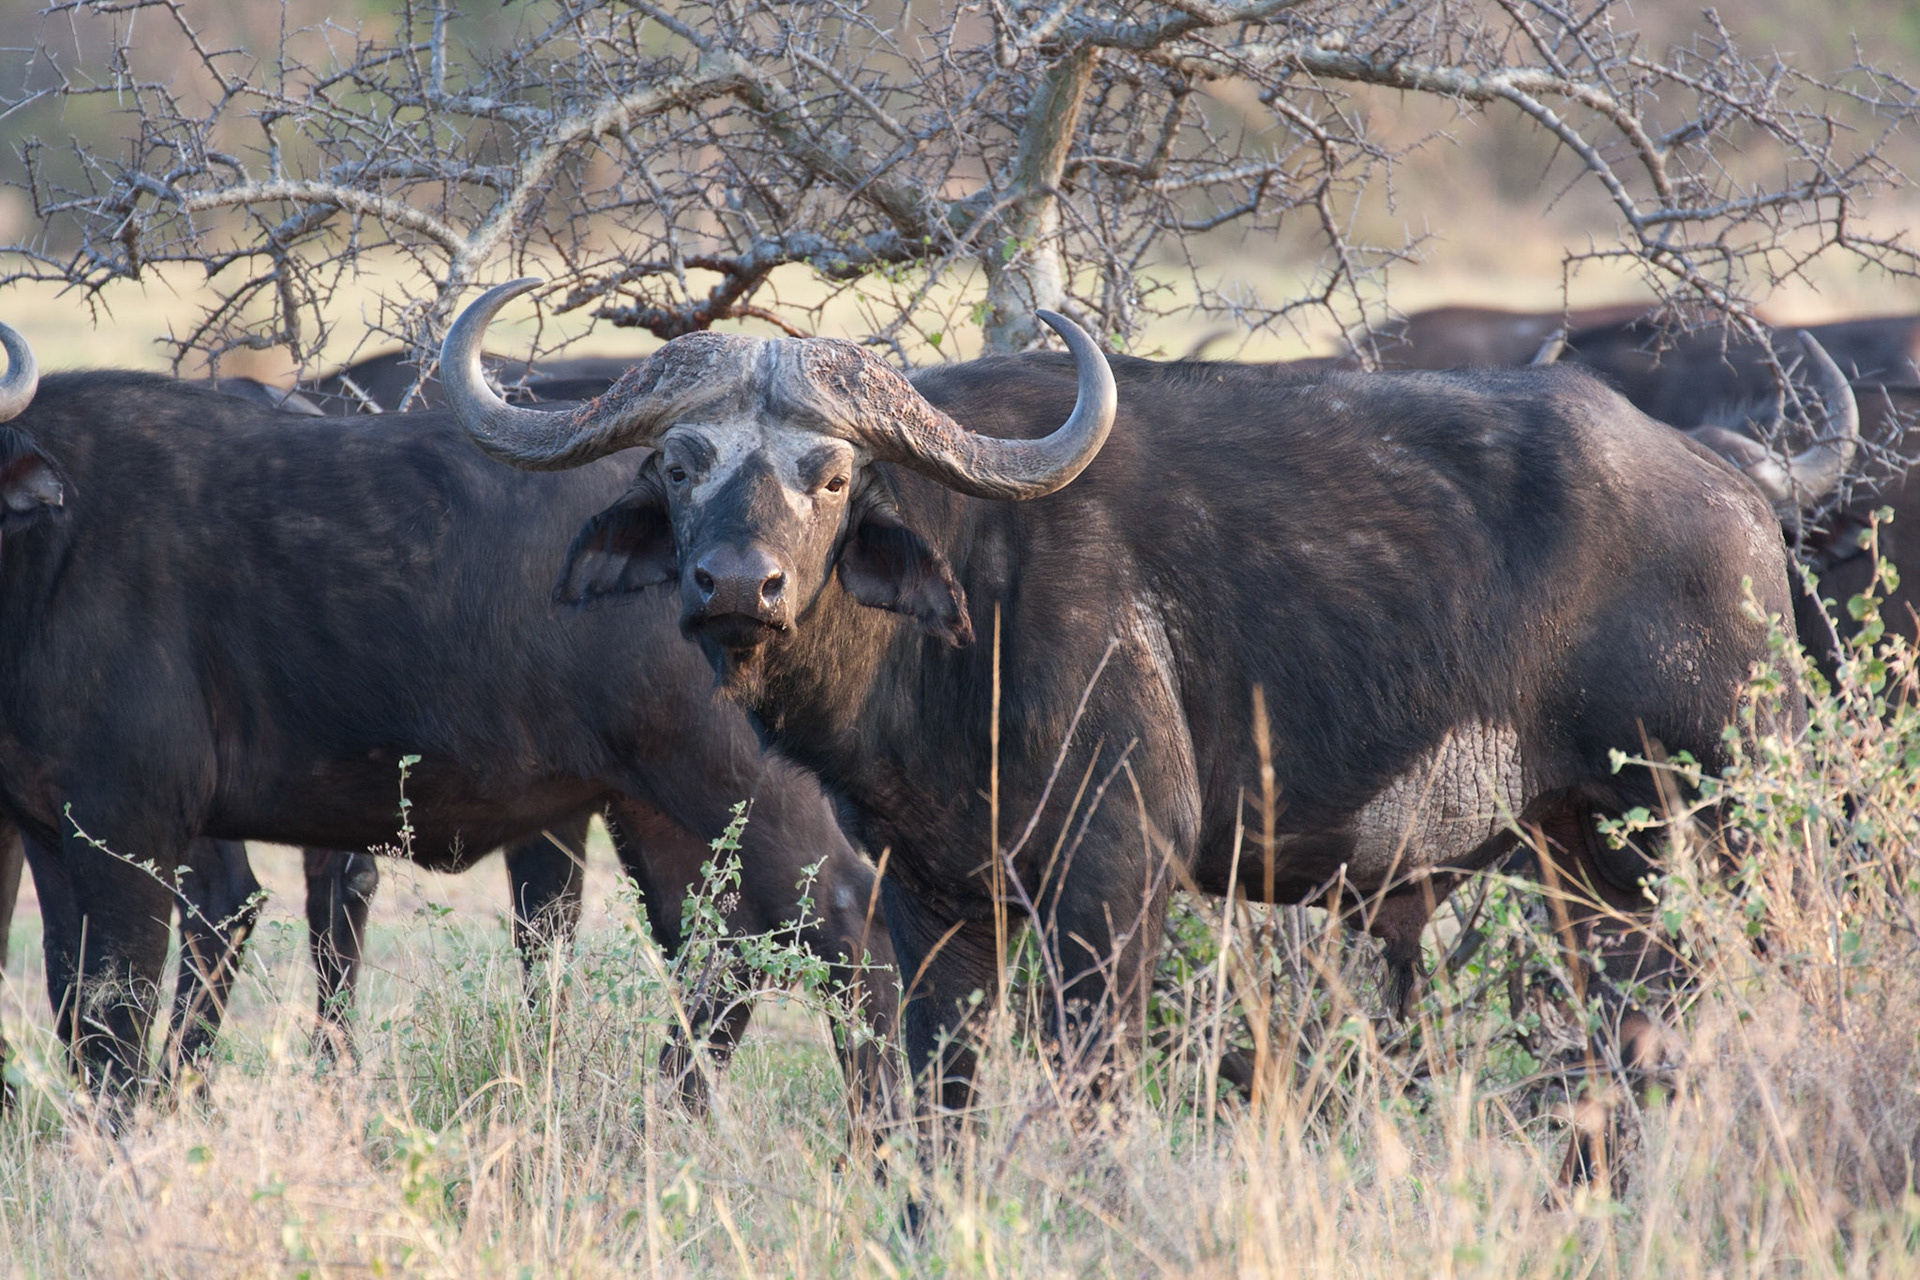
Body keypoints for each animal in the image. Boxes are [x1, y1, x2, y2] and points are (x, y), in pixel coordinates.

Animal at [0, 322, 895, 1117]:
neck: (51, 552)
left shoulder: (128, 831)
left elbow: (114, 1026)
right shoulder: (46, 832)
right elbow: (71, 1006)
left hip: (740, 788)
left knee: (852, 929)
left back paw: (882, 1149)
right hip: (655, 810)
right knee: (724, 948)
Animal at [449, 279, 1799, 1180]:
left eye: (829, 474)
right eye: (680, 465)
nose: (737, 585)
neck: (961, 613)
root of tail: (1733, 487)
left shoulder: (1116, 875)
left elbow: (1091, 1087)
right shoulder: (928, 895)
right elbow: (938, 1099)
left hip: (1717, 825)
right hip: (1585, 855)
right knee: (1622, 1032)